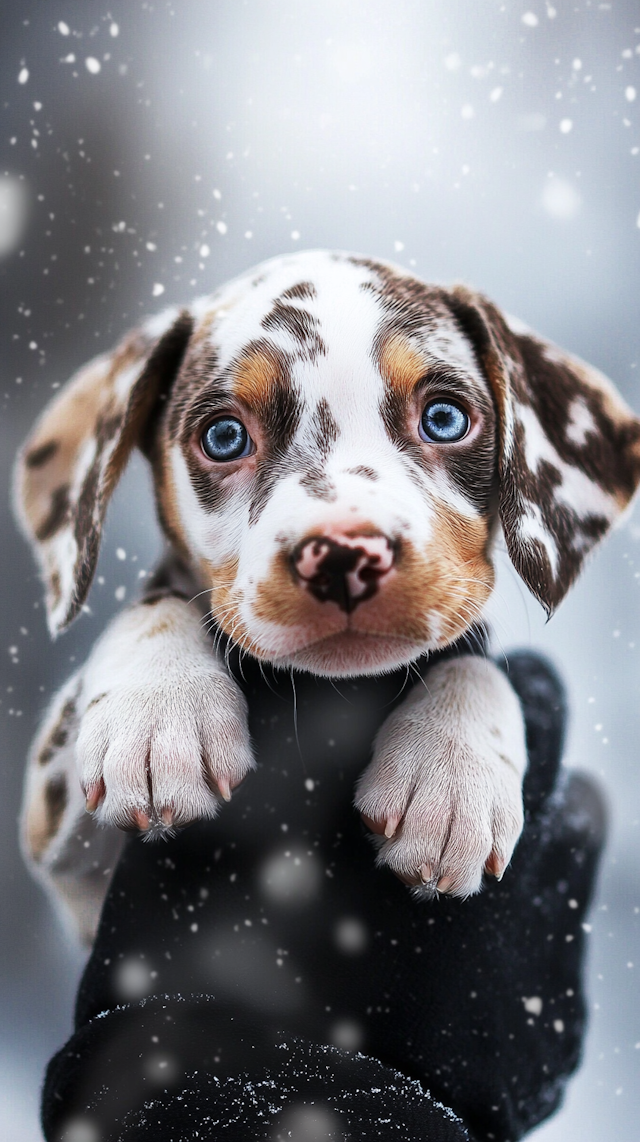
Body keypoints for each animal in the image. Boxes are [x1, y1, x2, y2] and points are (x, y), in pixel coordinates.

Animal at [15, 252, 640, 945]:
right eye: (224, 436)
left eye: (444, 418)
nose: (345, 556)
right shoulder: (67, 861)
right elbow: (157, 604)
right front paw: (158, 706)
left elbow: (474, 663)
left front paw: (452, 769)